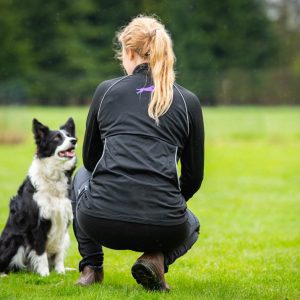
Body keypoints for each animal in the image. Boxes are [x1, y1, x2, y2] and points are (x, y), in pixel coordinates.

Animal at [0, 118, 77, 276]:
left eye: (69, 135)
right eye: (57, 138)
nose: (74, 141)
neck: (54, 178)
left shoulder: (63, 222)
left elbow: (59, 253)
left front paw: (60, 272)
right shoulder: (37, 224)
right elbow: (40, 252)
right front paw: (44, 274)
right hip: (16, 239)